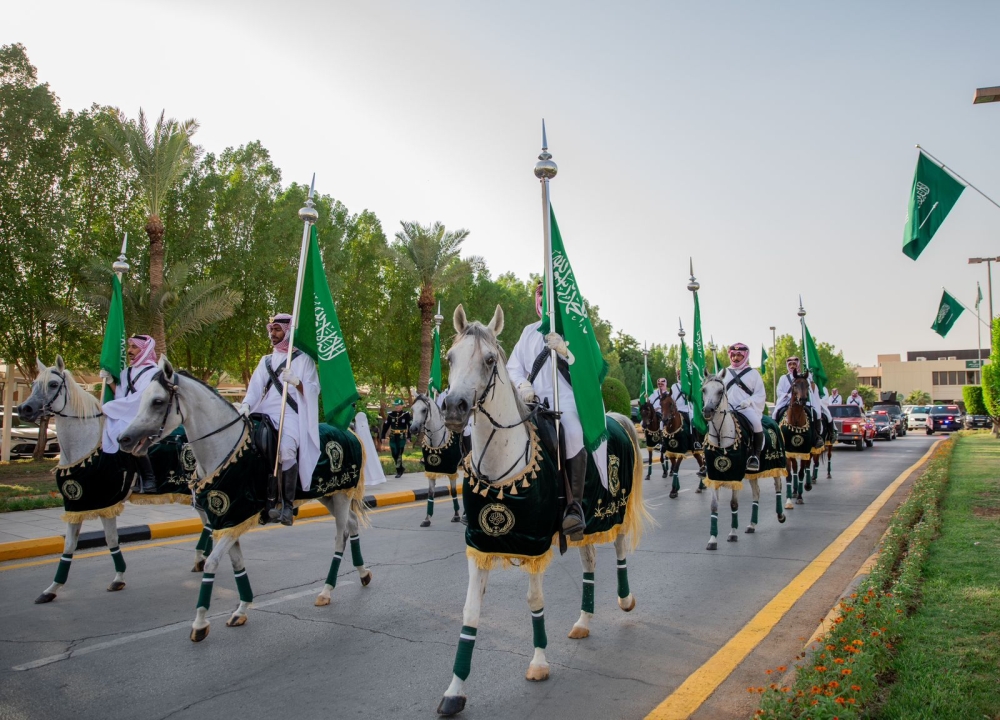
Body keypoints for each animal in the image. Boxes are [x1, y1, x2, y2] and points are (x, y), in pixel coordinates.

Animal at [17, 358, 215, 600]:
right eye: (34, 383)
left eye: (53, 384)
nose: (24, 409)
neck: (84, 447)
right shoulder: (76, 504)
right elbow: (69, 545)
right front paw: (52, 589)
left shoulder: (106, 502)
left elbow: (111, 539)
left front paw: (118, 578)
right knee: (206, 522)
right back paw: (201, 558)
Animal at [117, 356, 374, 640]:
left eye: (158, 401)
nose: (123, 439)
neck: (224, 449)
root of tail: (350, 433)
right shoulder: (228, 519)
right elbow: (236, 563)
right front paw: (241, 609)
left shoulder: (235, 514)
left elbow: (212, 564)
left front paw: (200, 623)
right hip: (327, 495)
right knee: (351, 524)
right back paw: (363, 573)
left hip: (340, 496)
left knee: (341, 535)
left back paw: (327, 590)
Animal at [410, 394, 464, 528]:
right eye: (412, 409)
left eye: (424, 410)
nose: (413, 428)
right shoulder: (431, 470)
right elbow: (430, 494)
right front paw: (427, 519)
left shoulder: (451, 470)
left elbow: (454, 491)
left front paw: (456, 515)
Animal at [434, 306, 652, 716]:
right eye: (450, 358)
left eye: (490, 360)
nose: (453, 407)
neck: (502, 465)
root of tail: (618, 418)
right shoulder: (480, 544)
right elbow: (470, 613)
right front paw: (454, 691)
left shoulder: (534, 544)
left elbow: (535, 602)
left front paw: (538, 663)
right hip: (585, 523)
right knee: (589, 563)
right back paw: (584, 621)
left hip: (612, 512)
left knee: (619, 549)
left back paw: (626, 599)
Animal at [700, 374, 784, 548]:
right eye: (704, 389)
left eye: (720, 390)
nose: (707, 411)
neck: (721, 437)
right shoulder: (714, 475)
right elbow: (714, 507)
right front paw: (712, 539)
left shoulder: (735, 475)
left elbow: (734, 504)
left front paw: (732, 533)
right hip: (753, 472)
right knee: (756, 492)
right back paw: (752, 524)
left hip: (776, 464)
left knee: (778, 486)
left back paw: (780, 515)